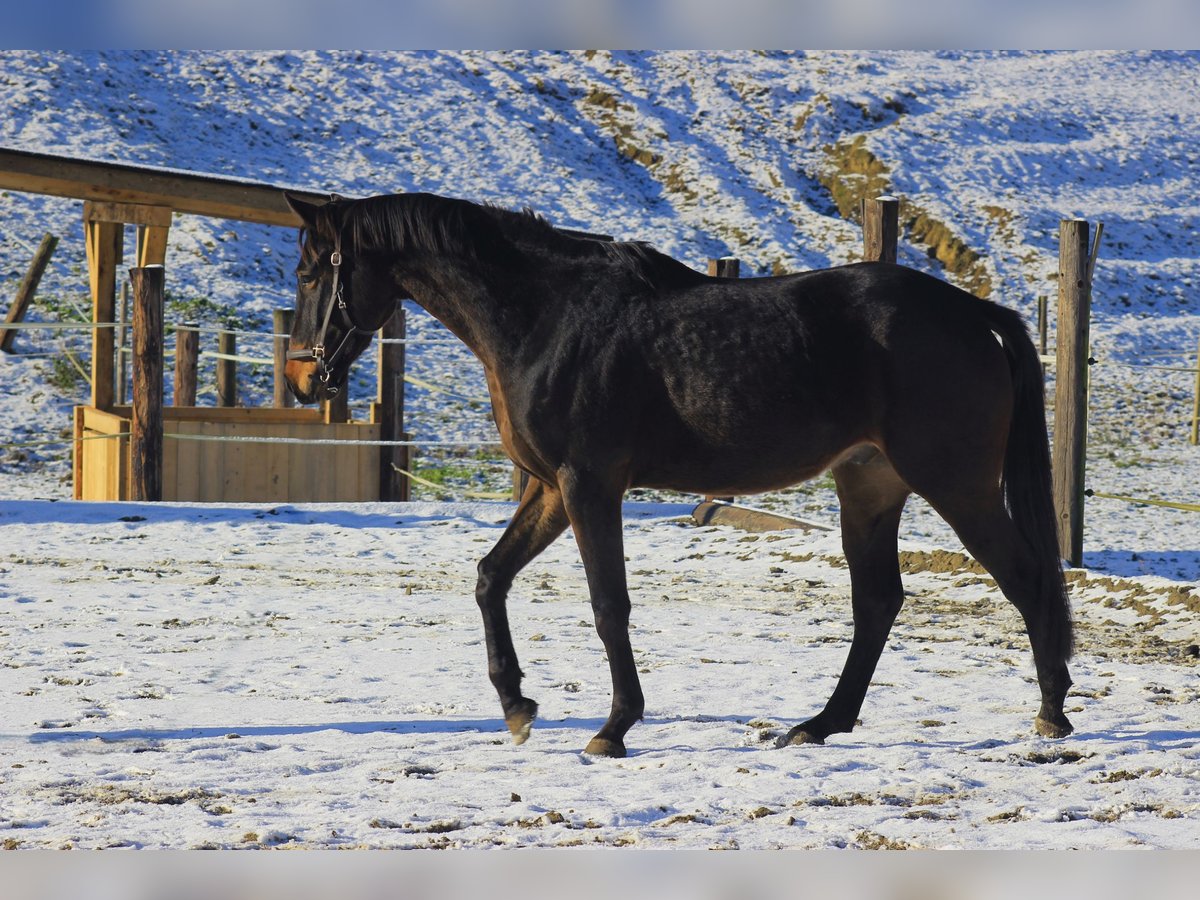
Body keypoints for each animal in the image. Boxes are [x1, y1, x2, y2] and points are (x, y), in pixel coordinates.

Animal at [283, 192, 1080, 763]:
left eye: (313, 271)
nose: (299, 378)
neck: (546, 316)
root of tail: (973, 311)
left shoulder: (588, 485)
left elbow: (609, 606)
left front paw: (613, 727)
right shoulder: (550, 489)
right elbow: (490, 577)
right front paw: (517, 707)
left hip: (956, 485)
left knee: (1027, 578)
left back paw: (1051, 713)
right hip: (869, 488)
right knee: (879, 602)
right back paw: (821, 723)